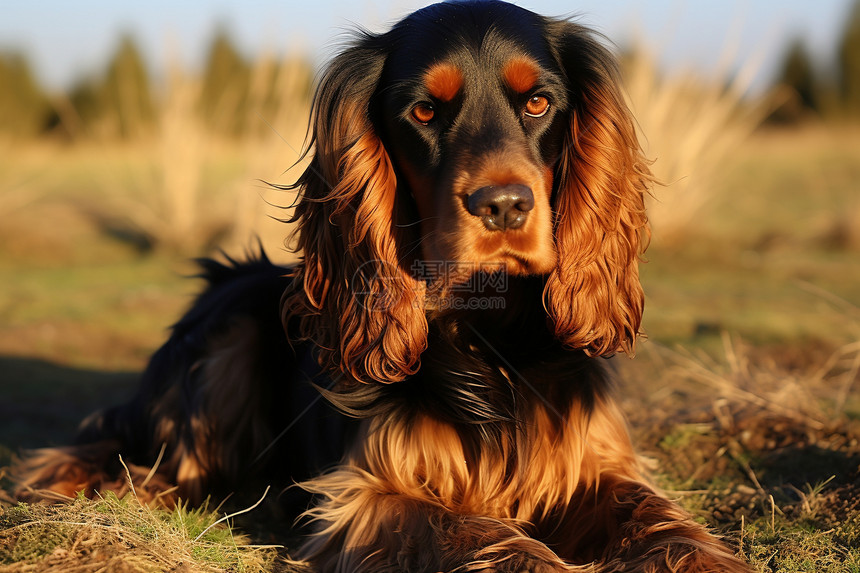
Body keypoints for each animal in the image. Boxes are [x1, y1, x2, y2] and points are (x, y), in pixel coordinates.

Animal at [15, 2, 752, 568]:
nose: (504, 206)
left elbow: (667, 524)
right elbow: (488, 537)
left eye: (540, 102)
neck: (486, 332)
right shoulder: (369, 494)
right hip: (229, 329)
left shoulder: (595, 467)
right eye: (424, 111)